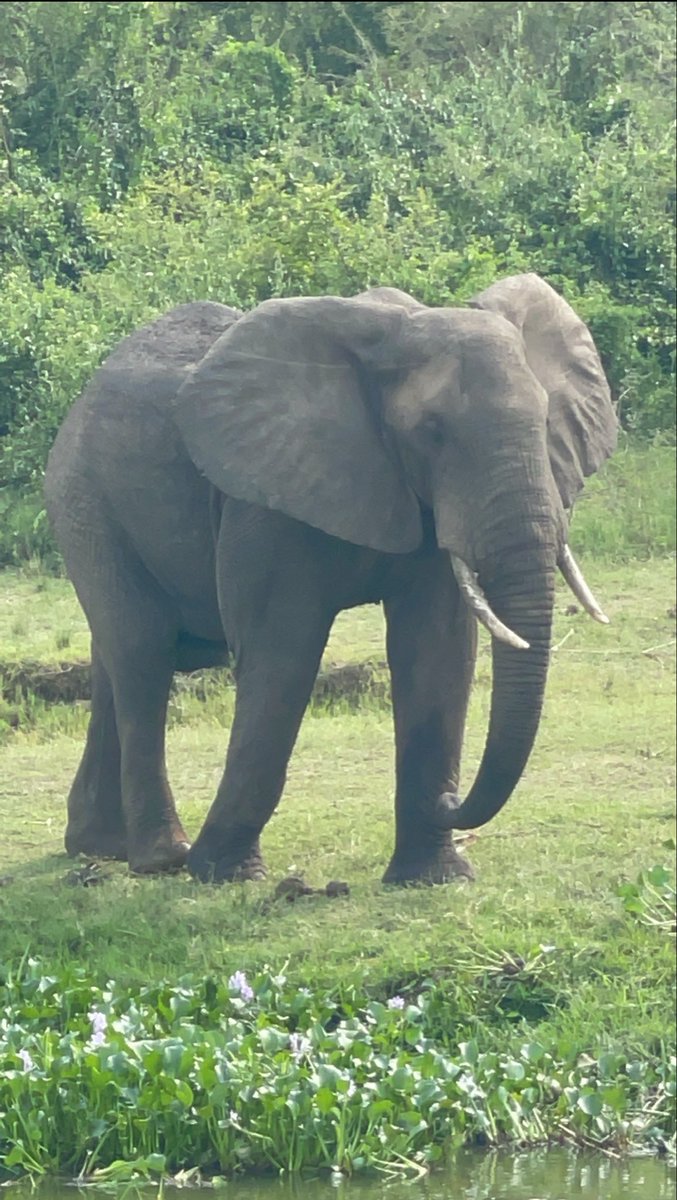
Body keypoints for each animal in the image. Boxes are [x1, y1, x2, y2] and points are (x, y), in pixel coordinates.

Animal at [44, 274, 617, 885]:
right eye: (432, 432)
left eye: (545, 419)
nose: (449, 802)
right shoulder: (266, 499)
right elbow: (282, 653)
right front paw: (228, 874)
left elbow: (435, 650)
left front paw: (434, 877)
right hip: (85, 501)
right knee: (143, 655)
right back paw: (163, 858)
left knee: (114, 657)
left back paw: (99, 846)